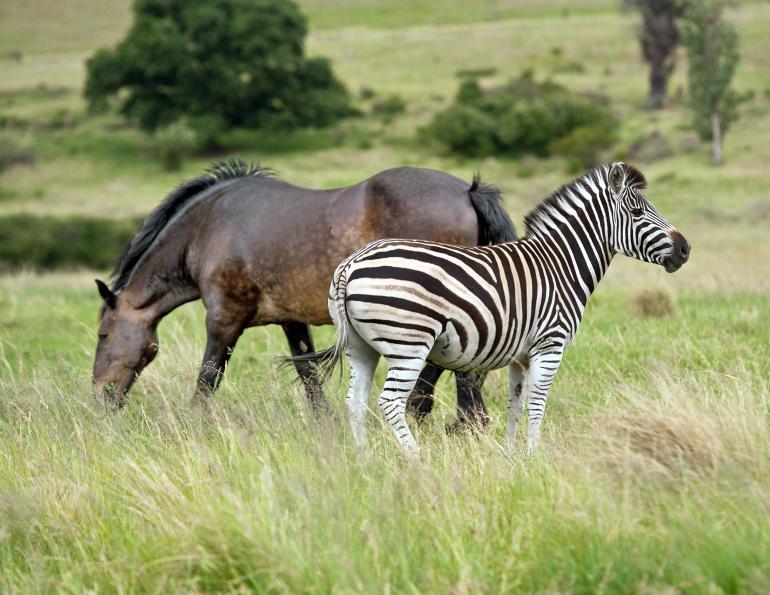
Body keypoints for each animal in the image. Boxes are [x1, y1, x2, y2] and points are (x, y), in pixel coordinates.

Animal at [92, 159, 517, 424]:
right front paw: (325, 424)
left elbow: (208, 375)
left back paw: (444, 418)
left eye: (103, 334)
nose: (100, 396)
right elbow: (307, 371)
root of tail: (467, 191)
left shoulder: (224, 317)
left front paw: (194, 422)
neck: (208, 227)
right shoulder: (290, 319)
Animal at [290, 162, 690, 456]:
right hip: (409, 343)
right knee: (389, 402)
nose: (685, 249)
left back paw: (364, 461)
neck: (560, 265)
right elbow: (538, 403)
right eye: (637, 212)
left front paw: (512, 457)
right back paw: (415, 459)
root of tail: (350, 264)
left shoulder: (520, 356)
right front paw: (534, 456)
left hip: (362, 346)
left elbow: (516, 405)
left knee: (355, 401)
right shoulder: (550, 345)